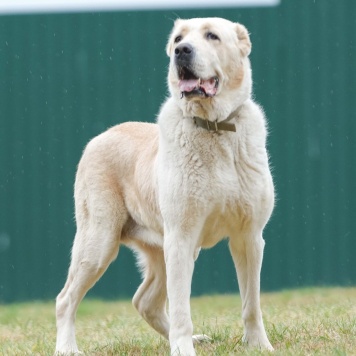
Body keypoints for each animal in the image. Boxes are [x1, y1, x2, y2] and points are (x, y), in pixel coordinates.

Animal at [55, 16, 274, 354]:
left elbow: (252, 302)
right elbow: (183, 307)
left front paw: (258, 345)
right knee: (65, 299)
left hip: (157, 248)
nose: (182, 51)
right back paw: (67, 347)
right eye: (178, 40)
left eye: (212, 36)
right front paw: (183, 349)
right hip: (99, 243)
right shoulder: (181, 238)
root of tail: (99, 136)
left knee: (145, 301)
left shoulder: (248, 236)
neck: (214, 127)